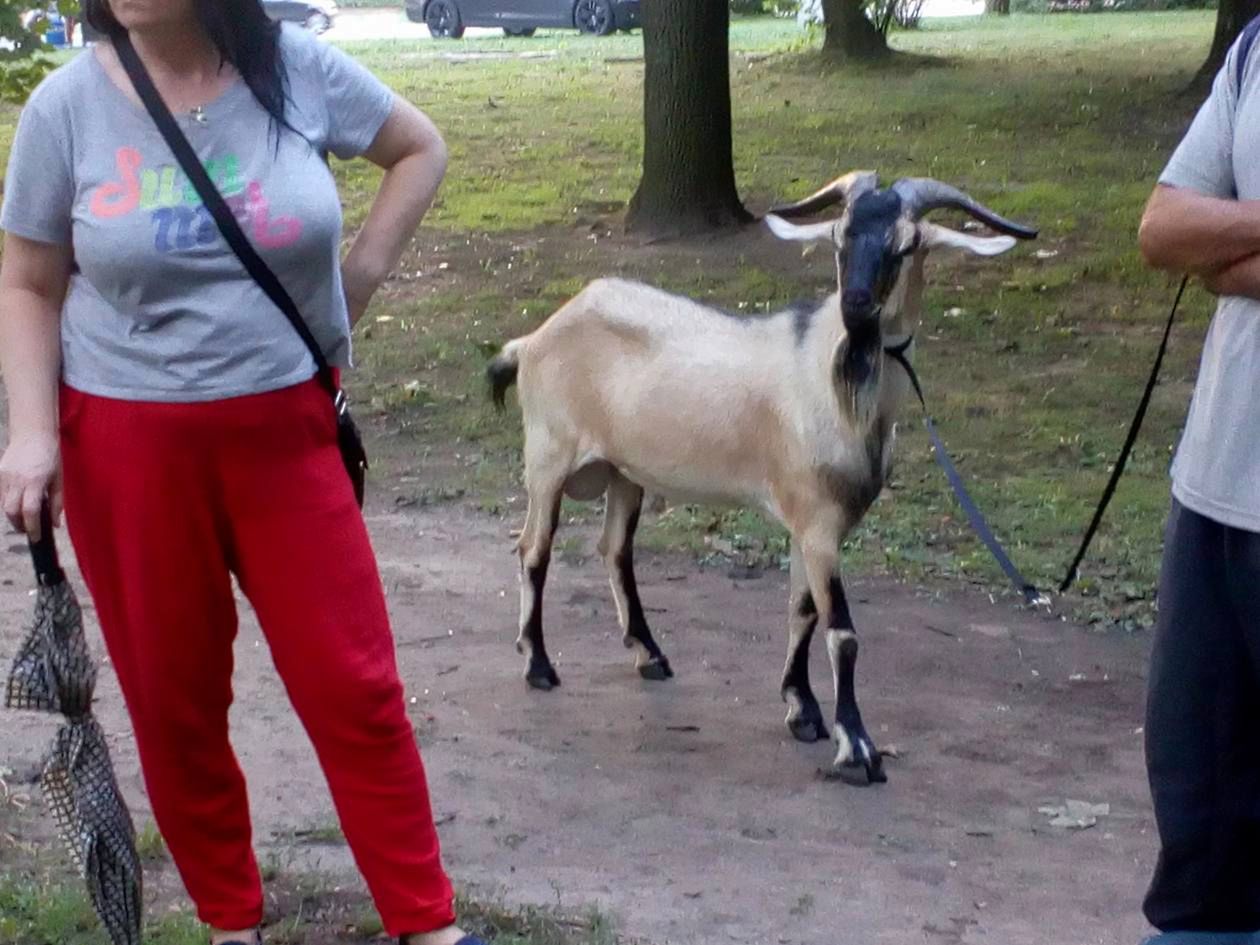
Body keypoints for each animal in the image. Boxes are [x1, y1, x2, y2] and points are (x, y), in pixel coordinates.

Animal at [486, 170, 1038, 786]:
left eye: (907, 244)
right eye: (840, 238)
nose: (856, 308)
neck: (835, 378)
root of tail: (534, 339)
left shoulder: (813, 526)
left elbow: (802, 610)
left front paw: (803, 711)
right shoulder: (818, 523)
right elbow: (841, 631)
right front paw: (857, 749)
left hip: (626, 472)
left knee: (613, 549)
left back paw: (650, 655)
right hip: (548, 458)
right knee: (534, 549)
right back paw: (539, 665)